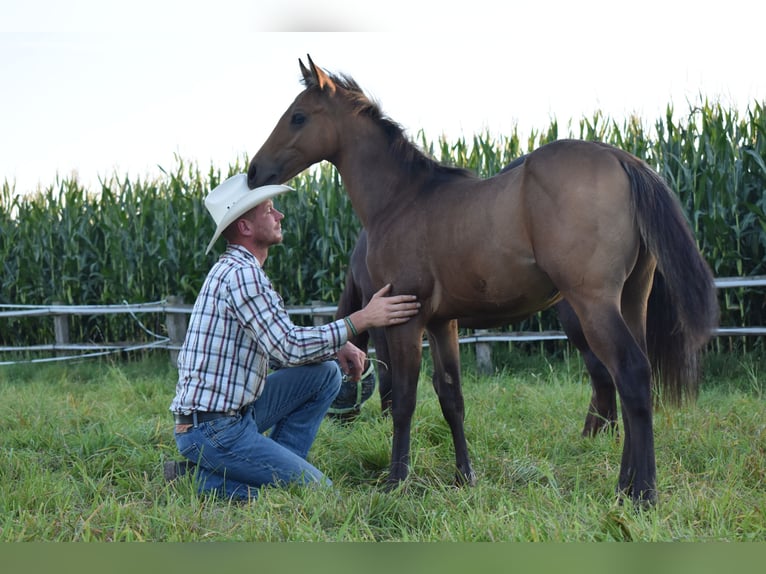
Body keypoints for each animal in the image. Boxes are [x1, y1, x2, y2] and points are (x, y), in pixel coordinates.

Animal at [250, 56, 720, 506]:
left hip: (593, 307)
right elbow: (451, 399)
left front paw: (396, 481)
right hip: (630, 301)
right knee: (630, 384)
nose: (254, 172)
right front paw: (465, 476)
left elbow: (403, 400)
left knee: (631, 376)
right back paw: (625, 484)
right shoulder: (443, 324)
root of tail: (624, 159)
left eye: (298, 116)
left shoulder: (403, 319)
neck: (402, 198)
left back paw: (642, 494)